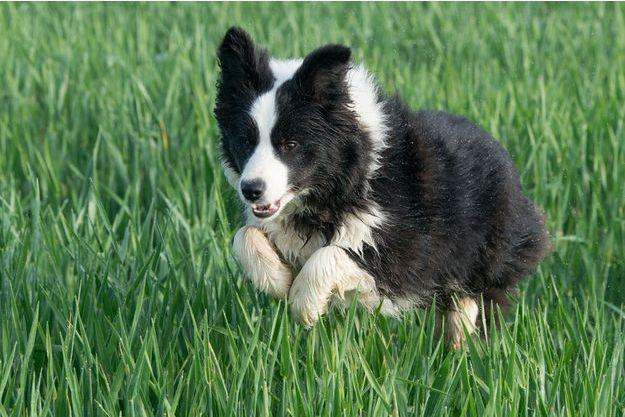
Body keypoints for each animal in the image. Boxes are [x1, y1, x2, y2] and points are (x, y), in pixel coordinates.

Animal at [214, 26, 552, 348]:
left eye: (290, 144)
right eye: (245, 141)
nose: (251, 189)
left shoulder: (409, 244)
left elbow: (335, 254)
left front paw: (304, 303)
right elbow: (244, 236)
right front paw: (280, 281)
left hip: (489, 247)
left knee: (470, 300)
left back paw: (460, 348)